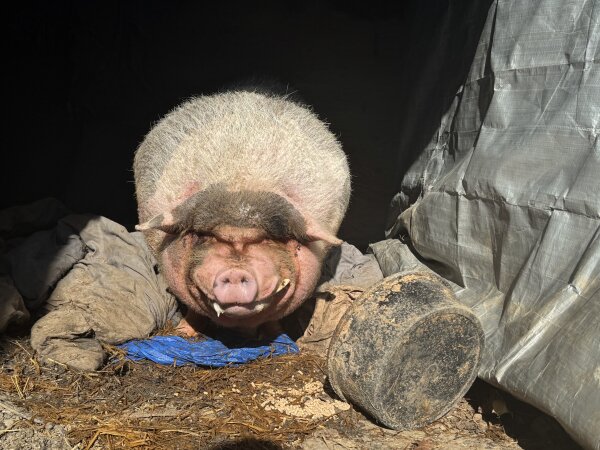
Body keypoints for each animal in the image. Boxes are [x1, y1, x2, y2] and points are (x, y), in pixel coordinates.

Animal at [133, 90, 350, 334]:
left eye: (270, 239)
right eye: (202, 235)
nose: (235, 272)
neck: (240, 185)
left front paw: (275, 335)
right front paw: (182, 333)